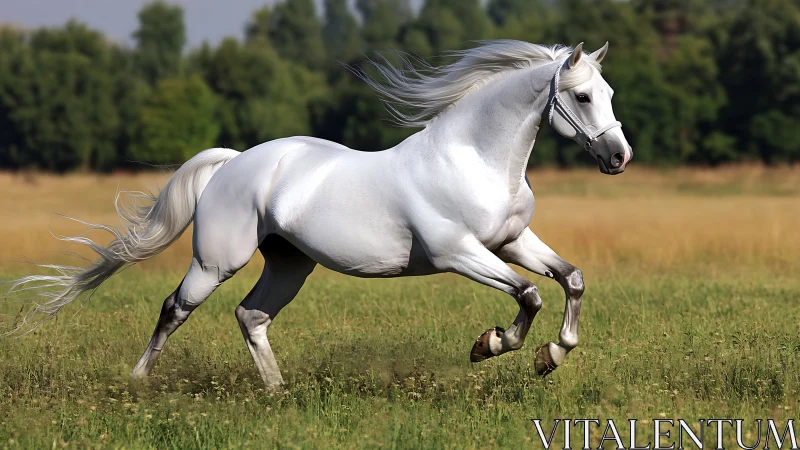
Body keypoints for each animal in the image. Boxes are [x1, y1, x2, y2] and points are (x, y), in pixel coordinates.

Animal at [7, 40, 632, 389]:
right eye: (582, 97)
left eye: (609, 94)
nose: (619, 158)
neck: (473, 157)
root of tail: (233, 164)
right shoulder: (459, 253)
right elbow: (529, 294)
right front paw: (492, 345)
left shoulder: (510, 241)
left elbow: (570, 279)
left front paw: (552, 355)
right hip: (216, 261)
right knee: (174, 309)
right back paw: (137, 384)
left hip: (289, 264)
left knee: (251, 317)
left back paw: (279, 393)